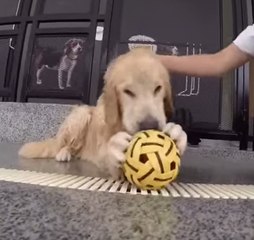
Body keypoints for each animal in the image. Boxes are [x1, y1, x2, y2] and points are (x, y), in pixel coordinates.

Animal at [18, 48, 187, 180]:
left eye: (158, 88)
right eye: (128, 92)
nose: (150, 125)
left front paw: (176, 133)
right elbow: (107, 152)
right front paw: (115, 148)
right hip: (81, 113)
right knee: (66, 145)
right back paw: (63, 153)